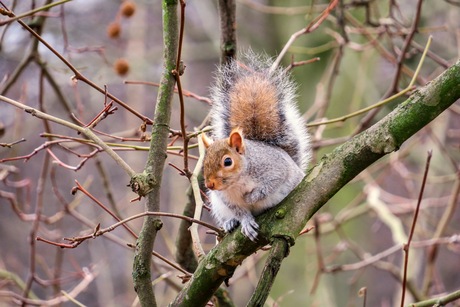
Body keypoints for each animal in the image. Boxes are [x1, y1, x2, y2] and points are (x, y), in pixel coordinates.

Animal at [203, 51, 310, 242]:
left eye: (228, 162)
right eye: (204, 162)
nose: (210, 185)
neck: (237, 182)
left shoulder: (274, 170)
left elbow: (269, 186)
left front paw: (251, 197)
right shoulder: (226, 199)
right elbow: (240, 211)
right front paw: (245, 221)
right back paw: (230, 223)